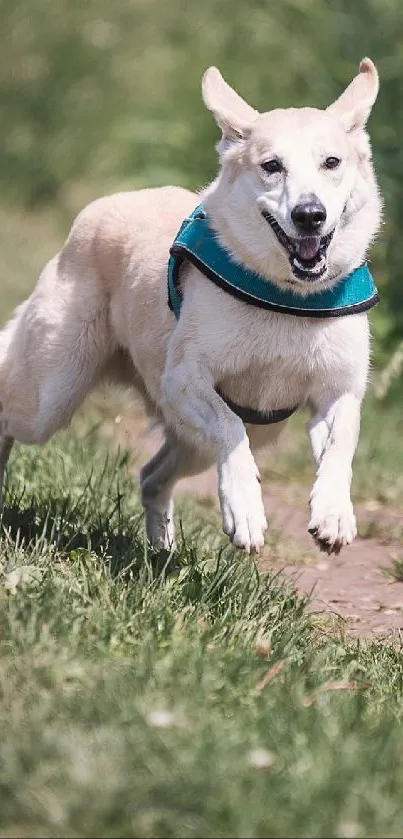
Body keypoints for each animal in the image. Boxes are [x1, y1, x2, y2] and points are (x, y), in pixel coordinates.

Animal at [0, 60, 382, 556]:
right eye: (271, 166)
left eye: (332, 163)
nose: (309, 215)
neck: (287, 297)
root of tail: (99, 208)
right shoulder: (185, 379)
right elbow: (230, 427)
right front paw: (245, 511)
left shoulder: (337, 393)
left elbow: (340, 448)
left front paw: (334, 514)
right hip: (50, 395)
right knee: (13, 414)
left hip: (192, 443)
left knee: (151, 476)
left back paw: (161, 550)